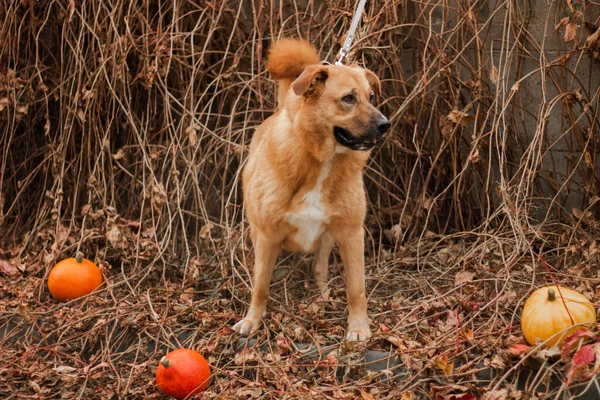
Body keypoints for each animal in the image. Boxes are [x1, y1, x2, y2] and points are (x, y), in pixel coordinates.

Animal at [234, 39, 390, 342]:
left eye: (371, 97)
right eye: (348, 98)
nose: (385, 125)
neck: (320, 163)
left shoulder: (352, 233)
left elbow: (357, 289)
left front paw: (358, 327)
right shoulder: (267, 236)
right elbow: (260, 285)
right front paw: (252, 320)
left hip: (329, 236)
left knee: (319, 268)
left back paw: (323, 297)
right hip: (256, 232)